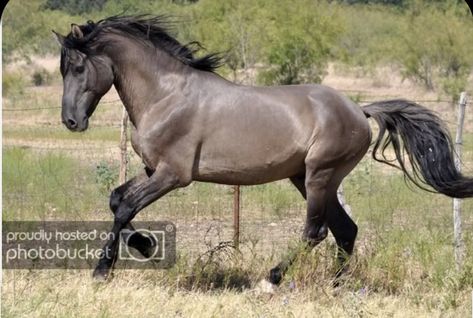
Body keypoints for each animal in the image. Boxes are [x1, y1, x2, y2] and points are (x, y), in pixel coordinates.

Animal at [53, 14, 470, 284]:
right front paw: (146, 246)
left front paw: (103, 271)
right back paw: (337, 285)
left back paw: (273, 278)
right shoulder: (153, 169)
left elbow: (125, 207)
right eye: (63, 69)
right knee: (345, 230)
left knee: (316, 231)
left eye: (77, 67)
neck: (166, 95)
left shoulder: (174, 174)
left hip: (319, 176)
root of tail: (359, 109)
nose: (71, 121)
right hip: (306, 177)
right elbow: (116, 200)